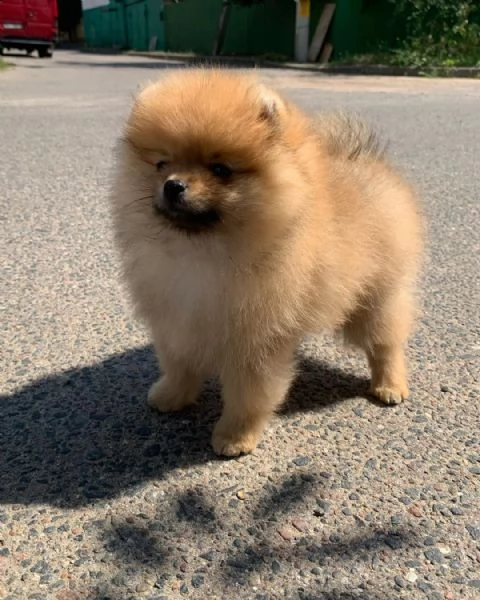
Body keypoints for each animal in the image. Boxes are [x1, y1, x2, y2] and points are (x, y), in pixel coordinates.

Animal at [109, 68, 424, 458]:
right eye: (161, 164)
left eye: (220, 169)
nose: (173, 185)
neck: (203, 252)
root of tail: (365, 161)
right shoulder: (178, 319)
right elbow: (179, 364)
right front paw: (171, 395)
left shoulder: (255, 341)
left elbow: (248, 395)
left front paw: (235, 436)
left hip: (376, 297)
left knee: (385, 342)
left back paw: (389, 385)